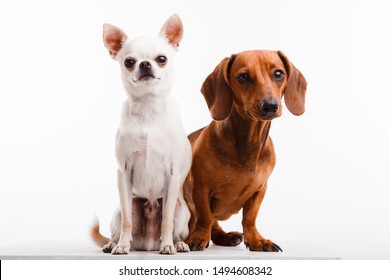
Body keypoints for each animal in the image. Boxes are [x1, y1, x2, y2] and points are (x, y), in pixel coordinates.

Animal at [92, 14, 195, 255]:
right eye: (129, 62)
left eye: (161, 59)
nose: (145, 63)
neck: (149, 107)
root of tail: (148, 243)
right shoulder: (123, 172)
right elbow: (128, 221)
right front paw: (122, 246)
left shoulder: (173, 174)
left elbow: (166, 219)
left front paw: (168, 246)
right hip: (122, 208)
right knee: (122, 221)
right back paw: (114, 243)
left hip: (182, 211)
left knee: (175, 225)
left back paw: (177, 243)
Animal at [184, 49, 306, 252]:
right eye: (244, 77)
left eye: (278, 73)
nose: (270, 106)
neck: (248, 145)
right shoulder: (200, 189)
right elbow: (205, 217)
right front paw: (198, 237)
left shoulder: (260, 189)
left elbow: (249, 217)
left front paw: (256, 240)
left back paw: (225, 237)